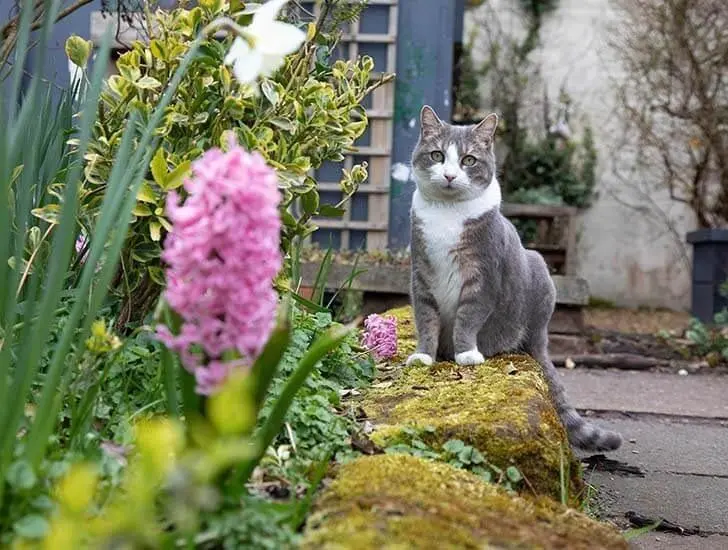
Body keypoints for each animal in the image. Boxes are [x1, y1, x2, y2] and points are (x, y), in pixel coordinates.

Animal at [406, 105, 624, 454]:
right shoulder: (421, 275)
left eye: (469, 160)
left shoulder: (483, 274)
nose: (450, 175)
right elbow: (426, 318)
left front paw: (466, 354)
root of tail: (540, 335)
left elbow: (468, 316)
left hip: (539, 267)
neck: (447, 216)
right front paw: (424, 356)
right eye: (437, 155)